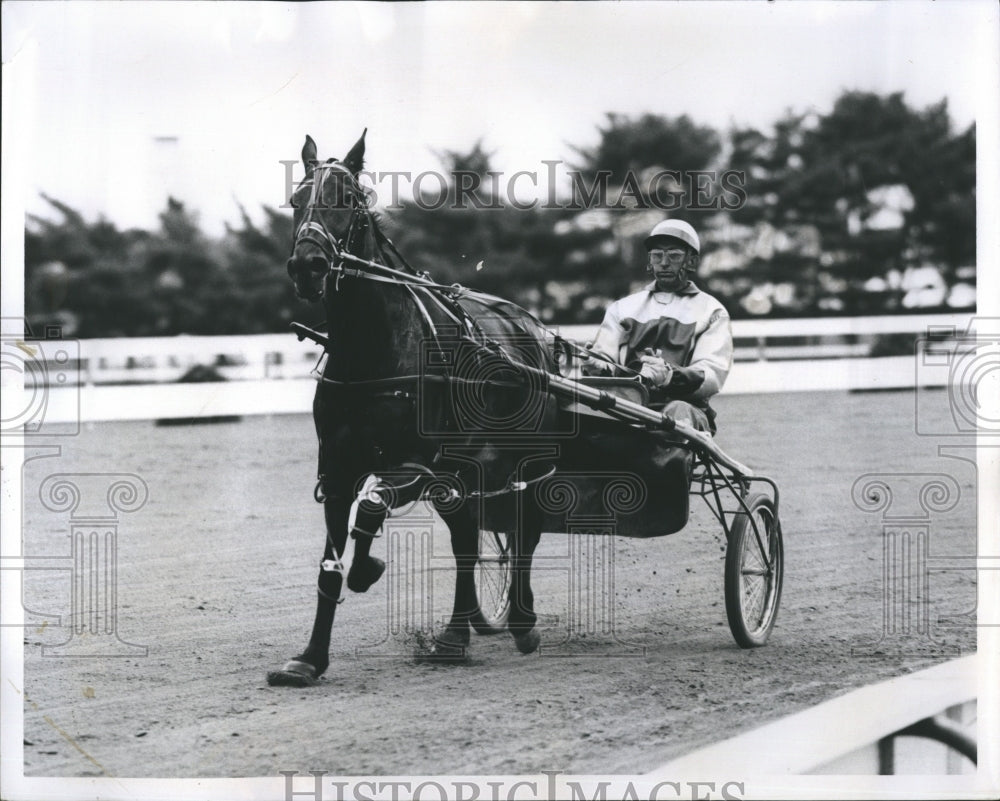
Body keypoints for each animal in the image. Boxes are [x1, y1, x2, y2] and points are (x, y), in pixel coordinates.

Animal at [266, 133, 564, 688]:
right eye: (296, 201)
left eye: (346, 199)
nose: (307, 265)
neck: (374, 350)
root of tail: (531, 326)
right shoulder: (337, 469)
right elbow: (330, 565)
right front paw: (310, 658)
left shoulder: (418, 465)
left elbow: (372, 506)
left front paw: (368, 568)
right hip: (465, 469)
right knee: (467, 538)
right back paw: (457, 633)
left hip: (520, 457)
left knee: (525, 528)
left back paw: (520, 621)